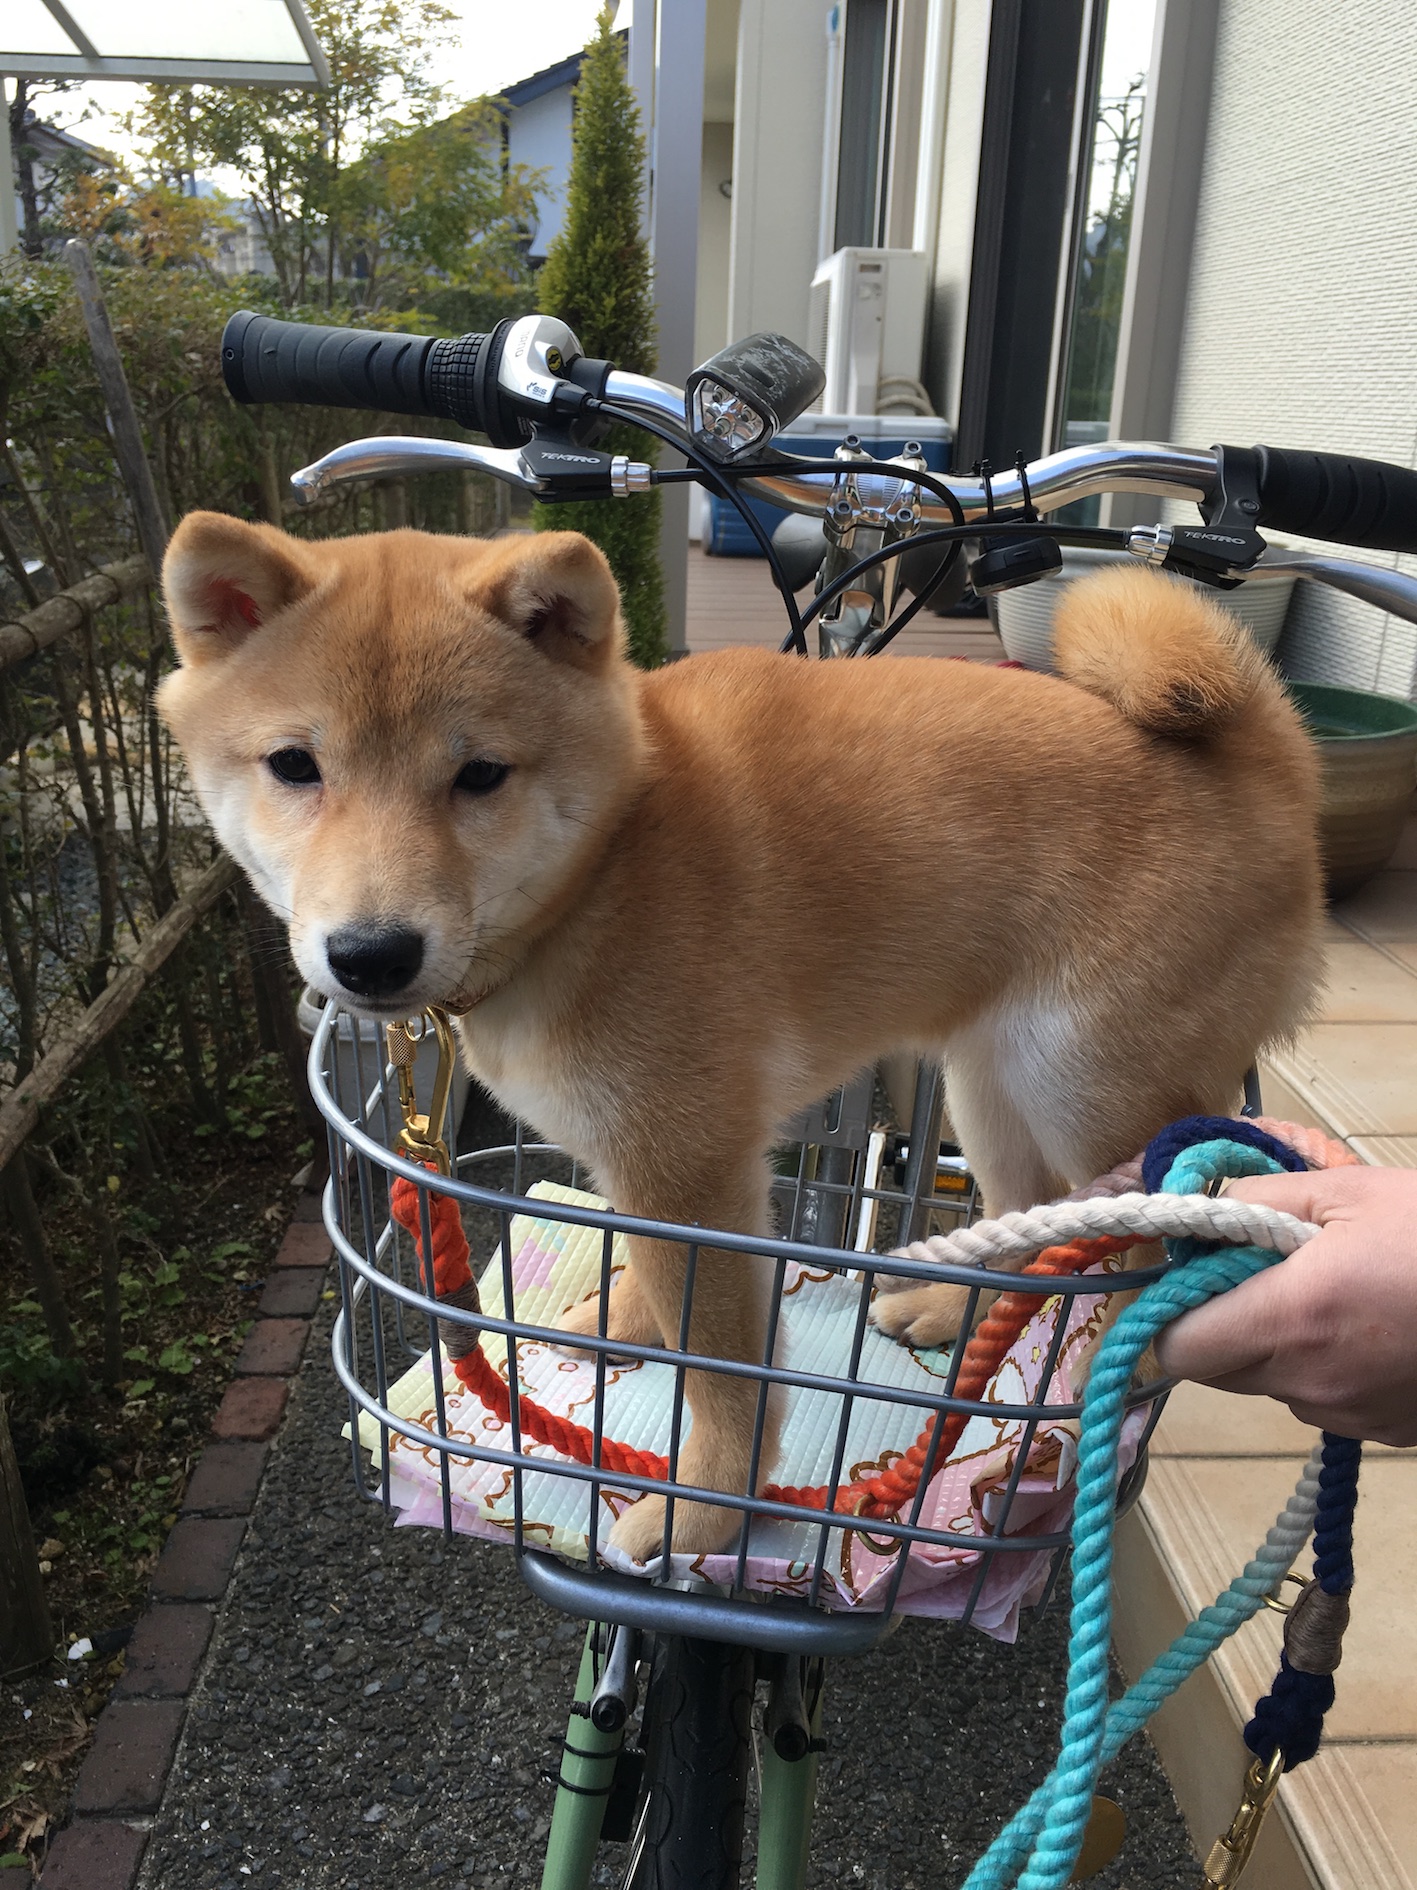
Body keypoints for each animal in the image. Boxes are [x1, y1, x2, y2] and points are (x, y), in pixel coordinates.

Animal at [158, 515, 1323, 1560]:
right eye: (295, 766)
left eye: (480, 774)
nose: (372, 955)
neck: (606, 871)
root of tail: (1266, 764)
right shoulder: (647, 1162)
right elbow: (654, 1283)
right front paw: (624, 1315)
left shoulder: (691, 1165)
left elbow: (722, 1373)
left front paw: (707, 1509)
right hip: (992, 1083)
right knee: (1031, 1217)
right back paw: (955, 1314)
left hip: (1088, 1090)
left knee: (1138, 1250)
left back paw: (1101, 1387)